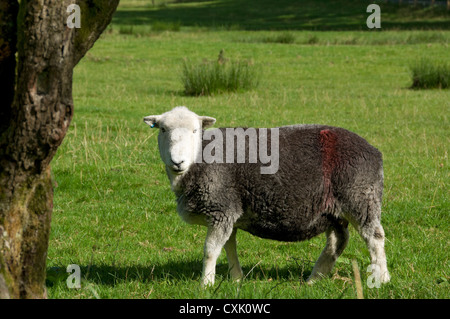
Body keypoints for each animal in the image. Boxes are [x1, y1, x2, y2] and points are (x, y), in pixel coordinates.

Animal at [144, 107, 390, 288]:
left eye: (196, 130)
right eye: (163, 129)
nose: (178, 161)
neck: (199, 161)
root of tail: (374, 151)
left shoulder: (221, 208)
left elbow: (210, 250)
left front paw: (206, 284)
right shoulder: (229, 211)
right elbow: (229, 247)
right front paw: (237, 279)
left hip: (360, 196)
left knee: (375, 237)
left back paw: (382, 278)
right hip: (332, 209)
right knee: (337, 241)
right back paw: (314, 279)